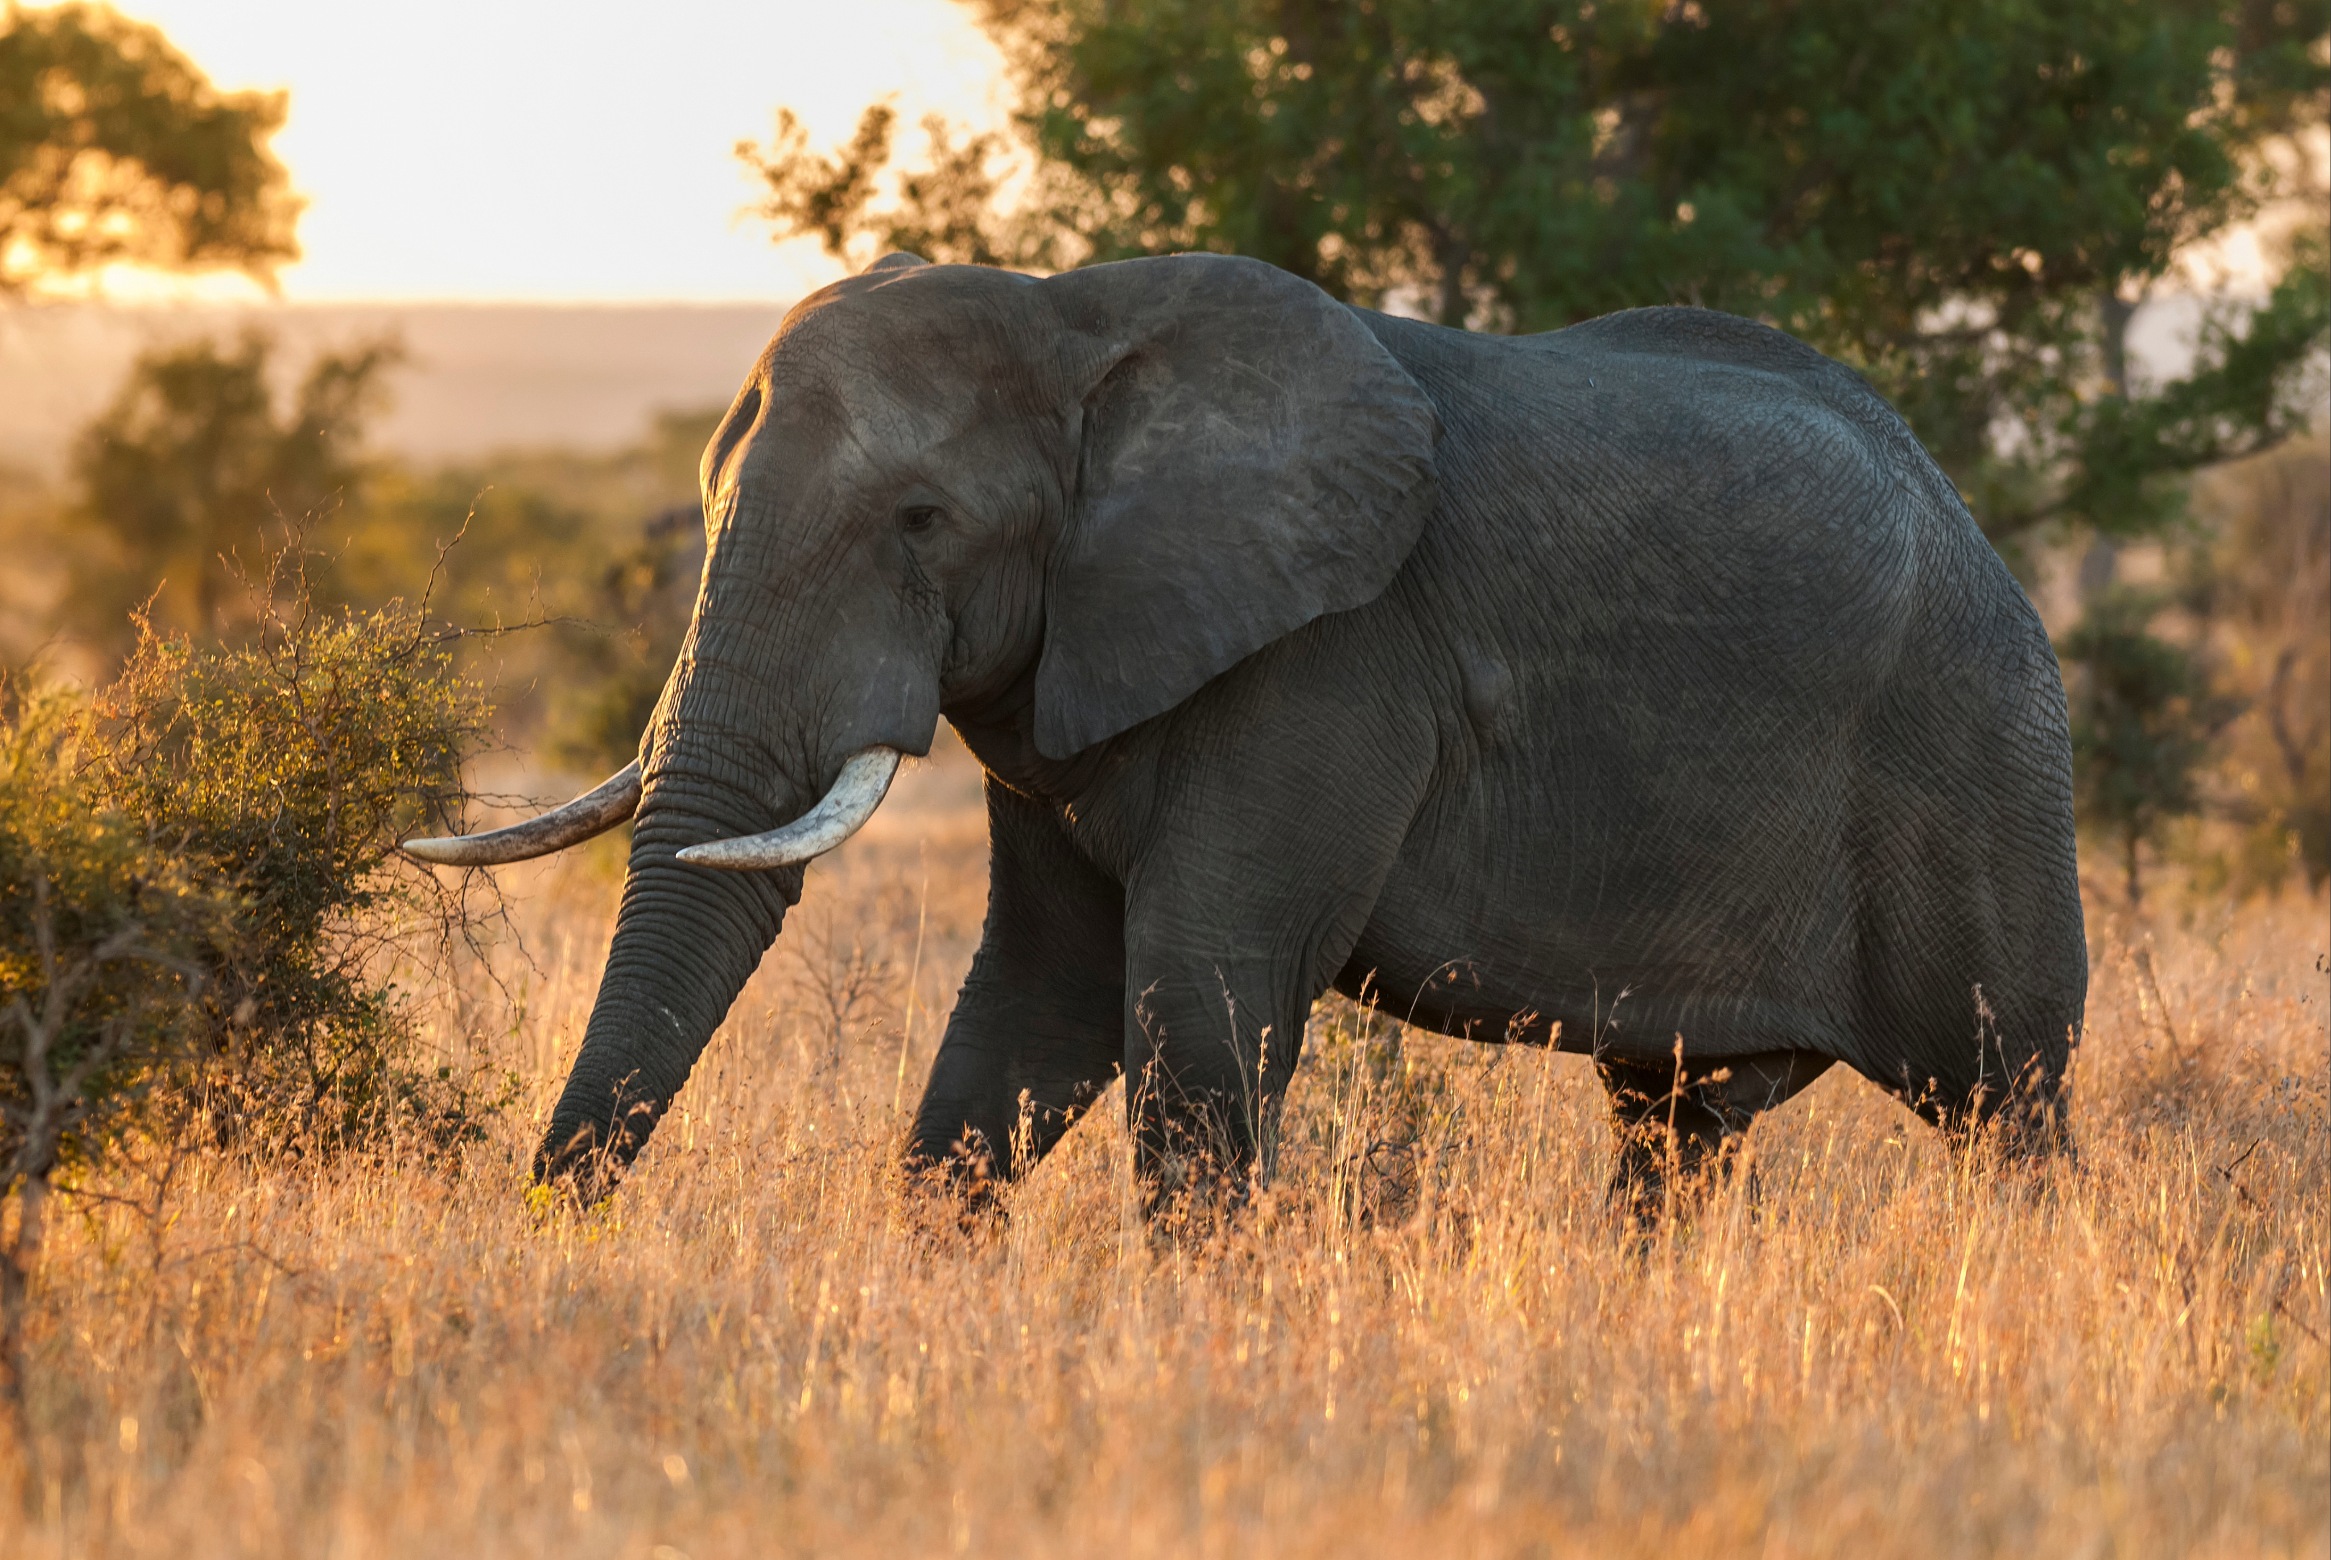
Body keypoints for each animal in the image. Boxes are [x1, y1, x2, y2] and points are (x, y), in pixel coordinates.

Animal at [405, 250, 2087, 1215]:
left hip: (1974, 760)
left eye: (921, 521)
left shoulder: (1333, 658)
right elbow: (1033, 1006)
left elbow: (1197, 999)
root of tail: (1974, 526)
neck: (1078, 320)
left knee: (2003, 1101)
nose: (545, 1237)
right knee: (1675, 1127)